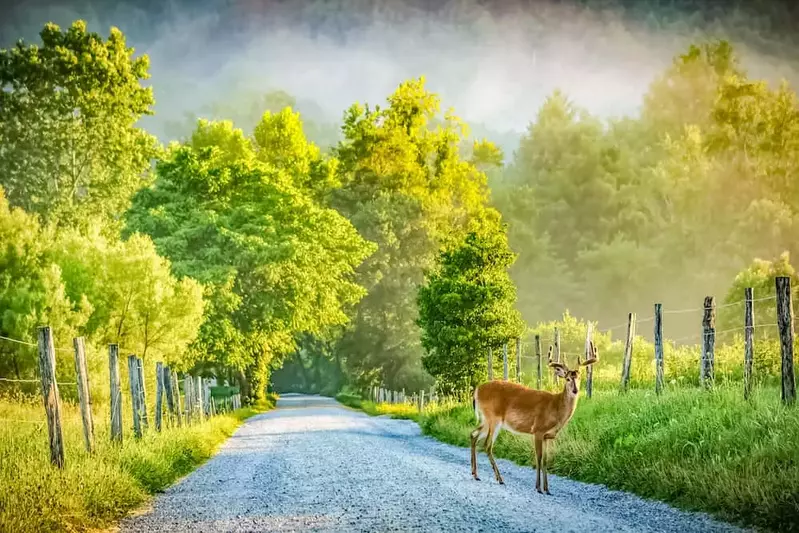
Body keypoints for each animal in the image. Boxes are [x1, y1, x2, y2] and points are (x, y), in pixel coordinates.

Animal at [468, 340, 600, 494]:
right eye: (567, 379)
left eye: (579, 378)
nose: (575, 390)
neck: (556, 407)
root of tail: (477, 391)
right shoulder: (538, 430)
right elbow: (539, 458)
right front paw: (538, 488)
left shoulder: (547, 436)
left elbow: (546, 460)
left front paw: (547, 489)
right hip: (493, 418)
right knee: (487, 445)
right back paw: (499, 479)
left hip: (486, 419)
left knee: (473, 435)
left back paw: (475, 474)